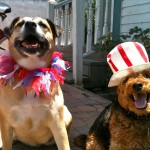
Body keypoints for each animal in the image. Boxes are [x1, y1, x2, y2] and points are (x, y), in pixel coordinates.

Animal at [0, 17, 72, 149]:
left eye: (43, 25)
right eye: (20, 24)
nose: (30, 24)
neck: (31, 73)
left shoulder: (58, 126)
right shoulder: (6, 123)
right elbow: (7, 143)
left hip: (67, 114)